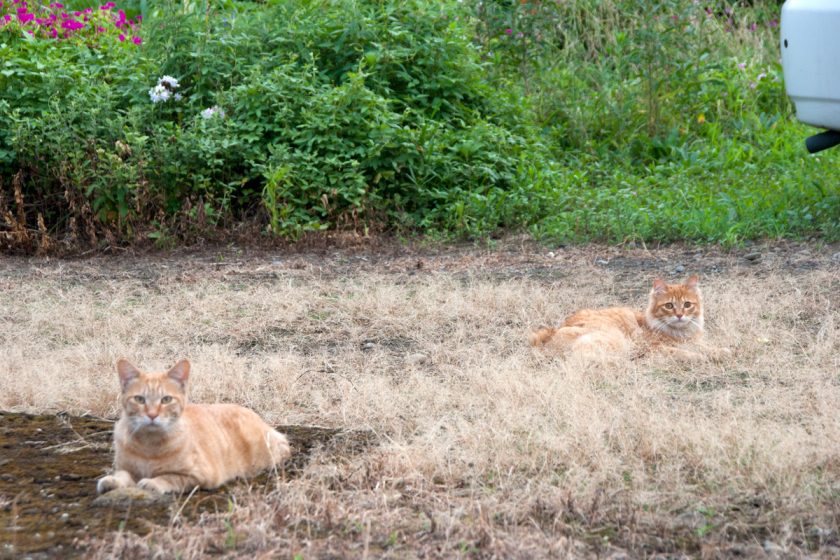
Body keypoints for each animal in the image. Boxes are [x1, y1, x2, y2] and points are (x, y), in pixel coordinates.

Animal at [96, 358, 288, 494]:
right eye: (139, 399)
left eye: (166, 399)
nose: (152, 415)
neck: (148, 446)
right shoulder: (125, 468)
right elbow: (122, 475)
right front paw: (112, 481)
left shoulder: (200, 475)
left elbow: (169, 477)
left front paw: (152, 482)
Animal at [536, 274, 704, 358]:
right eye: (669, 306)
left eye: (687, 305)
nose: (680, 315)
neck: (681, 333)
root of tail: (550, 334)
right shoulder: (653, 347)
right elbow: (682, 353)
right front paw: (698, 357)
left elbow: (708, 348)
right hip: (616, 340)